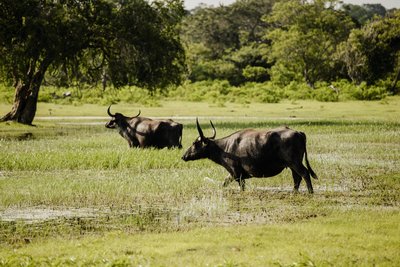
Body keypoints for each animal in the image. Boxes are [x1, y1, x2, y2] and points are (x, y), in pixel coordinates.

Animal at [182, 120, 318, 194]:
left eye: (195, 143)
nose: (184, 156)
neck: (225, 147)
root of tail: (298, 132)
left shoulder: (236, 174)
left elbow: (238, 186)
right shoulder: (235, 174)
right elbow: (224, 183)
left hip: (295, 163)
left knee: (304, 174)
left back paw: (310, 192)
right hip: (291, 165)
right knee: (297, 177)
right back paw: (294, 192)